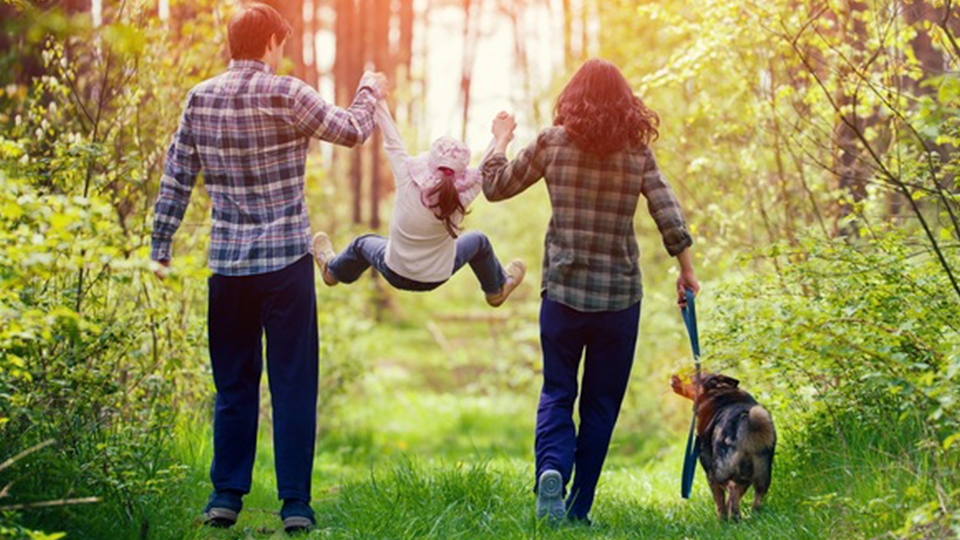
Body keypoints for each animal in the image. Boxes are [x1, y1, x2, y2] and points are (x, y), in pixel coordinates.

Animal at [672, 374, 776, 520]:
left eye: (689, 376)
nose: (673, 376)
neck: (718, 393)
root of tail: (746, 420)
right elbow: (730, 501)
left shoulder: (710, 473)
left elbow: (720, 503)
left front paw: (722, 521)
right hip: (762, 475)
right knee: (755, 495)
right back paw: (751, 515)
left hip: (720, 471)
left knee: (731, 488)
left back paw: (736, 518)